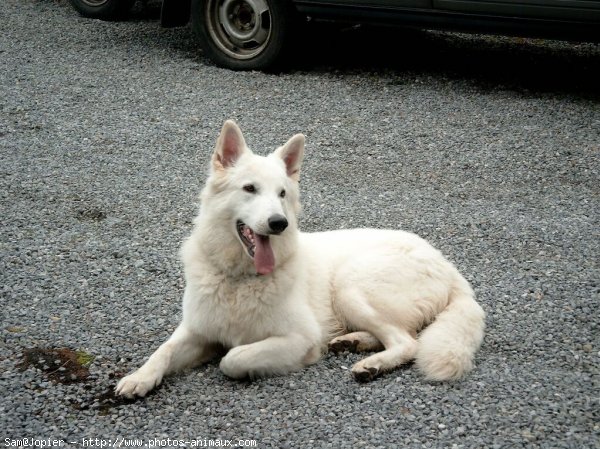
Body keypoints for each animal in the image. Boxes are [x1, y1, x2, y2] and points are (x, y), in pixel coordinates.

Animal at [115, 121, 486, 398]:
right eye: (249, 188)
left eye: (282, 193)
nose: (279, 223)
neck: (239, 279)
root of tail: (450, 267)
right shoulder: (195, 329)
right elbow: (163, 350)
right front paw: (139, 377)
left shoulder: (297, 338)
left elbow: (232, 357)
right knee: (403, 335)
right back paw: (353, 341)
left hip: (351, 285)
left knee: (407, 342)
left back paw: (371, 364)